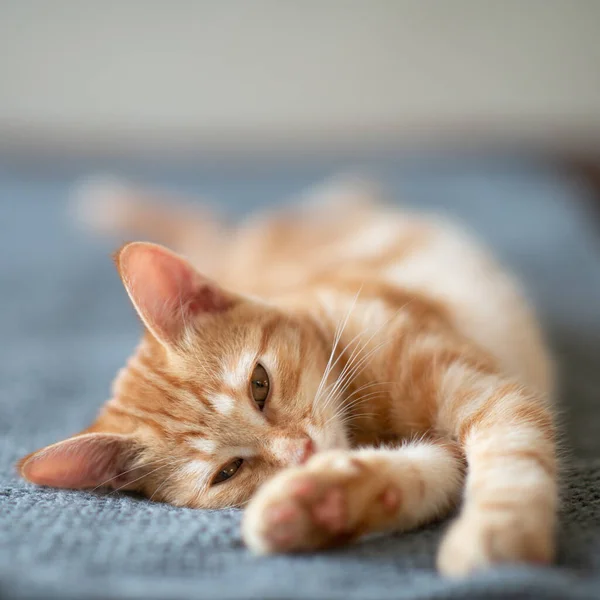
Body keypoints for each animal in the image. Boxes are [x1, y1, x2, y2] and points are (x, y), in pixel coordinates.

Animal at [21, 179, 560, 576]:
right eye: (229, 471)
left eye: (259, 385)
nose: (303, 452)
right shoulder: (441, 442)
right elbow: (426, 472)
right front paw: (322, 503)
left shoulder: (486, 389)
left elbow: (511, 452)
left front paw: (499, 532)